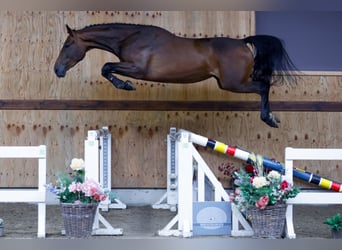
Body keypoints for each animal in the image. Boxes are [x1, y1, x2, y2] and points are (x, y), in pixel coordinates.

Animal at [53, 22, 296, 128]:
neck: (131, 38)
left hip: (234, 83)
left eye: (67, 45)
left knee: (264, 86)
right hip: (229, 83)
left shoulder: (137, 69)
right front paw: (126, 85)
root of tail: (243, 43)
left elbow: (105, 67)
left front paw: (127, 86)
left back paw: (269, 119)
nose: (57, 70)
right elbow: (106, 68)